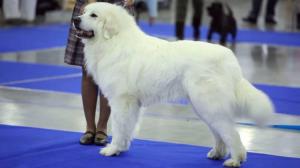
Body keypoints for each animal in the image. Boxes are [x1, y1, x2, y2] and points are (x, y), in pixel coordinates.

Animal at [74, 2, 274, 167]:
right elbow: (128, 128)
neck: (114, 41)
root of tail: (230, 58)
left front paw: (112, 149)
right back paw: (217, 153)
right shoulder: (132, 104)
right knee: (220, 132)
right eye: (83, 12)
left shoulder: (121, 101)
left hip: (208, 104)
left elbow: (118, 126)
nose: (75, 19)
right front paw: (122, 148)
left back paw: (236, 159)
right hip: (204, 107)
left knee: (231, 132)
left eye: (94, 15)